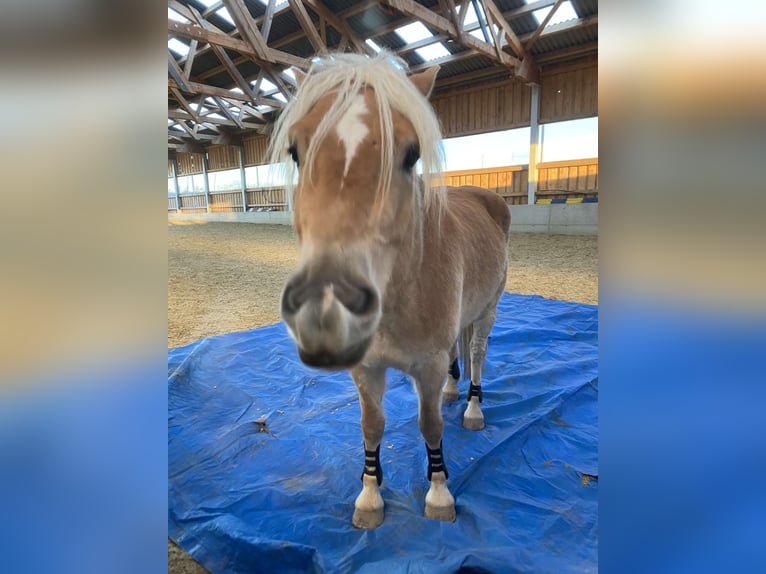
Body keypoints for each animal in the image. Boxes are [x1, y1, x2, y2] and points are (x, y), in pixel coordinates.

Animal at [270, 54, 510, 532]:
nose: (326, 308)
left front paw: (438, 492)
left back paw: (472, 407)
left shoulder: (428, 366)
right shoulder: (366, 368)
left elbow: (430, 425)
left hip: (488, 311)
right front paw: (369, 494)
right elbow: (372, 426)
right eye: (296, 151)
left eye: (411, 153)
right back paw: (454, 391)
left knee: (477, 353)